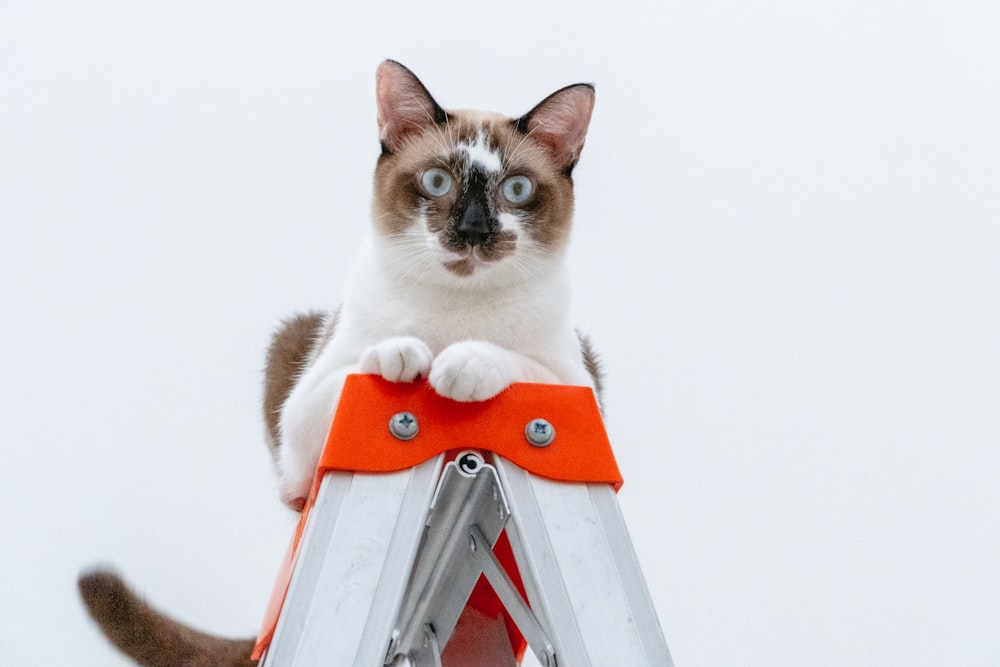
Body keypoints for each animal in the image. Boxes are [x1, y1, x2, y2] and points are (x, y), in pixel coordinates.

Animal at [82, 60, 596, 664]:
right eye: (436, 182)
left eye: (516, 189)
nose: (472, 232)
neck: (455, 307)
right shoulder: (311, 405)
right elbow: (371, 362)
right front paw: (406, 356)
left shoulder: (574, 389)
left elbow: (508, 360)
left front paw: (459, 366)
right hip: (290, 347)